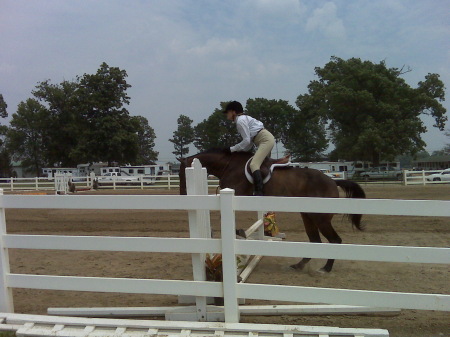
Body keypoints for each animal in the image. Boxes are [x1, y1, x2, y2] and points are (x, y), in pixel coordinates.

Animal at [177, 148, 366, 272]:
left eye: (182, 173)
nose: (183, 195)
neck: (228, 165)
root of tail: (332, 181)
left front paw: (239, 232)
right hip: (307, 215)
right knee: (315, 240)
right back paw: (299, 265)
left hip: (320, 218)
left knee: (335, 240)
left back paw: (325, 268)